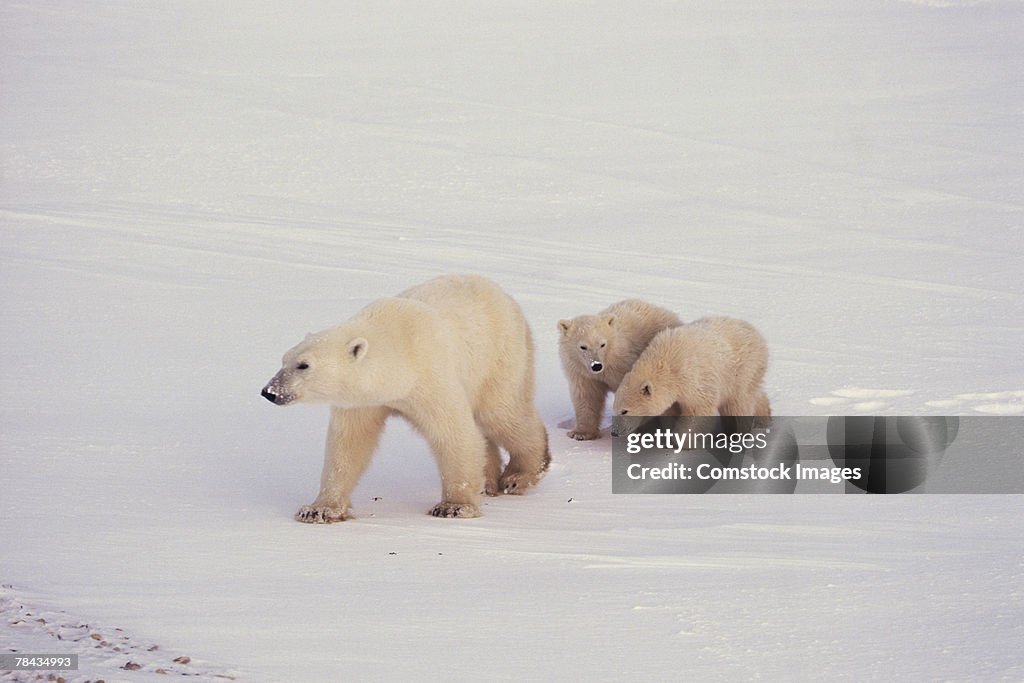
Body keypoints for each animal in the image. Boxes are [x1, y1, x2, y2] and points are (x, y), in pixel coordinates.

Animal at [264, 274, 552, 520]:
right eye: (284, 359)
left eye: (303, 365)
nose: (269, 392)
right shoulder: (363, 399)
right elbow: (348, 444)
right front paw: (319, 509)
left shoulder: (429, 376)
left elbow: (453, 433)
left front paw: (453, 506)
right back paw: (489, 480)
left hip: (501, 356)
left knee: (502, 414)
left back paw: (519, 475)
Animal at [557, 301, 684, 440]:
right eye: (583, 347)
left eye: (602, 344)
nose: (596, 365)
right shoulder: (581, 371)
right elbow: (587, 396)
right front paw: (581, 433)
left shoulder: (622, 365)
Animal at [610, 317, 770, 432]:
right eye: (614, 408)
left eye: (625, 411)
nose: (614, 432)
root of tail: (757, 333)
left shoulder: (694, 380)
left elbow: (698, 411)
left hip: (742, 370)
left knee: (738, 403)